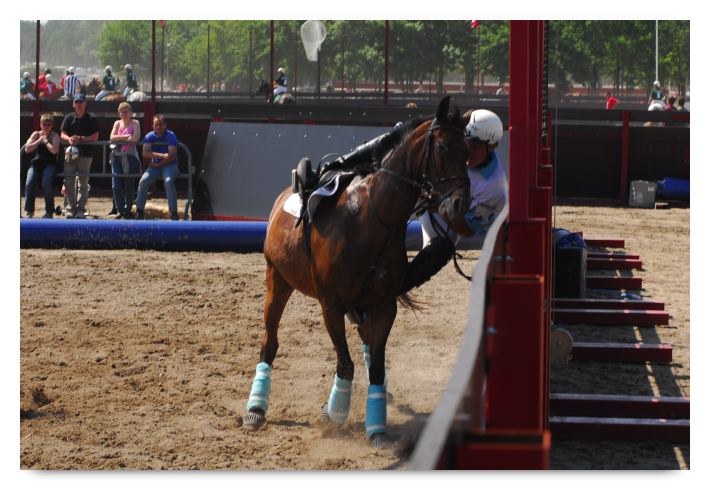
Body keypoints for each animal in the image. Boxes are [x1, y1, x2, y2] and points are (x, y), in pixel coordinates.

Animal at [243, 96, 471, 448]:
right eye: (444, 147)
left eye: (468, 151)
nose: (460, 203)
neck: (372, 218)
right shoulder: (331, 305)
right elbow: (345, 364)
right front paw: (334, 414)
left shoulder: (383, 306)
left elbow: (375, 366)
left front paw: (376, 427)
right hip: (277, 281)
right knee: (270, 343)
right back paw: (256, 409)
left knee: (366, 348)